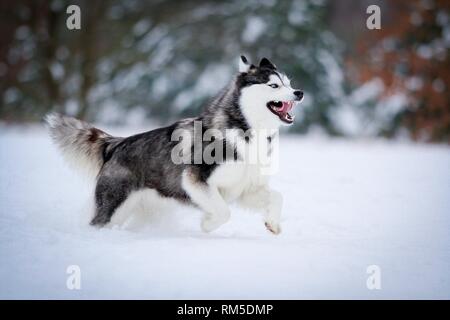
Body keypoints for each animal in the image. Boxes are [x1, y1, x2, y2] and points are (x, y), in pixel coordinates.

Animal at [45, 56, 302, 234]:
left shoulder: (245, 188)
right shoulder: (195, 179)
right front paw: (207, 224)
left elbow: (278, 197)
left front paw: (272, 223)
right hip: (114, 206)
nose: (299, 92)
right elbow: (224, 211)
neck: (246, 132)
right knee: (98, 222)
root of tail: (116, 144)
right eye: (273, 86)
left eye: (289, 83)